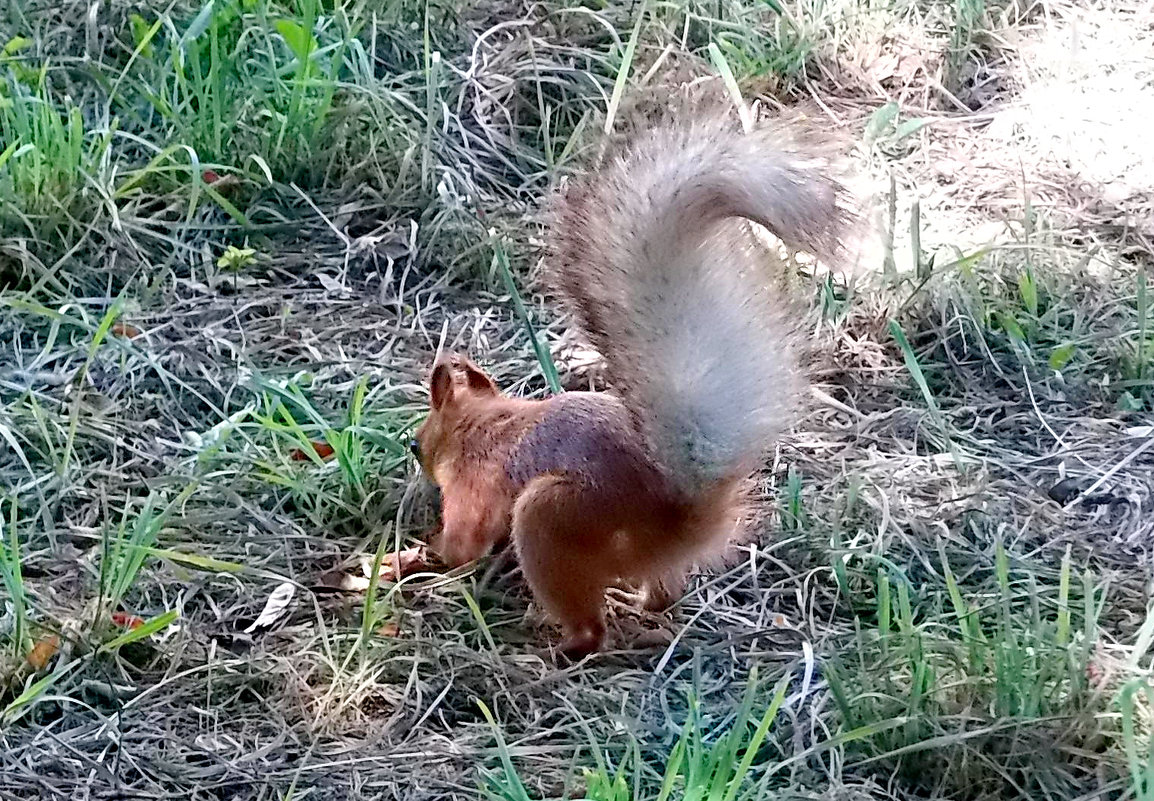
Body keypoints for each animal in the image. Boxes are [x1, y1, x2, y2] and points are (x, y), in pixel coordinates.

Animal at [413, 92, 858, 660]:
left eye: (417, 446)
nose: (416, 459)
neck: (487, 422)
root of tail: (676, 521)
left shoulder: (472, 489)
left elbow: (463, 545)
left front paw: (425, 554)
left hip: (550, 521)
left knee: (588, 625)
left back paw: (559, 648)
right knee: (662, 594)